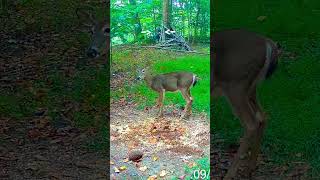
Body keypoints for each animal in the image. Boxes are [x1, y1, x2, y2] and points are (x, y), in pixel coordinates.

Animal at [211, 29, 282, 179]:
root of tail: (268, 43)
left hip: (236, 84)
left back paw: (229, 175)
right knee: (263, 116)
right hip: (251, 89)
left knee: (251, 123)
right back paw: (249, 168)